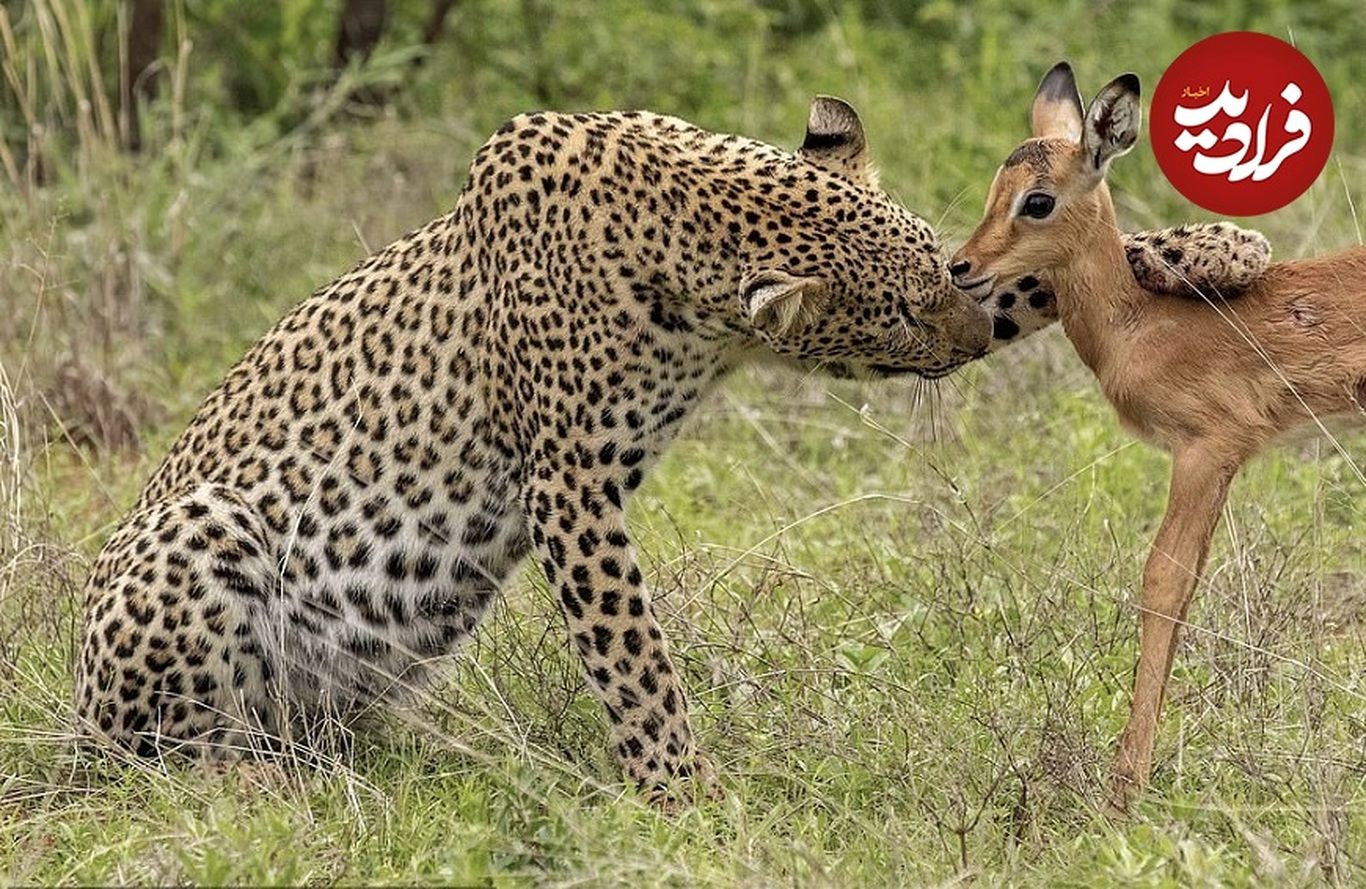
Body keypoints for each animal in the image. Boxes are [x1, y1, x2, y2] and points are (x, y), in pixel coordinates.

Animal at [72, 97, 1267, 797]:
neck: (674, 219)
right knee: (166, 763)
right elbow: (636, 660)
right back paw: (250, 787)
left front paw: (1216, 247)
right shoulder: (569, 485)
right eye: (890, 316)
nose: (966, 337)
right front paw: (691, 803)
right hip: (199, 534)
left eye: (943, 265)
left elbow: (1052, 276)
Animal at [950, 60, 1366, 813]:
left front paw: (1125, 786)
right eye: (998, 186)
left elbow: (1163, 583)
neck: (1139, 324)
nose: (961, 266)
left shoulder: (1206, 451)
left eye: (1037, 200)